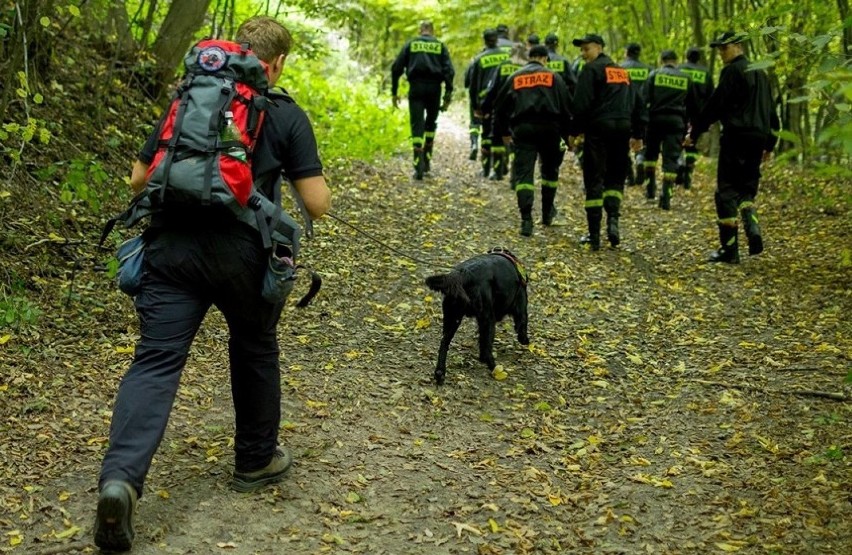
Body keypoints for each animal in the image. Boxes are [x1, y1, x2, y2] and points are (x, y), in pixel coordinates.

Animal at [424, 249, 528, 386]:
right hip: (488, 319)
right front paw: (525, 340)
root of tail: (463, 275)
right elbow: (522, 325)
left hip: (453, 318)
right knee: (485, 352)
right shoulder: (520, 307)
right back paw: (496, 370)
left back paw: (440, 373)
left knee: (444, 343)